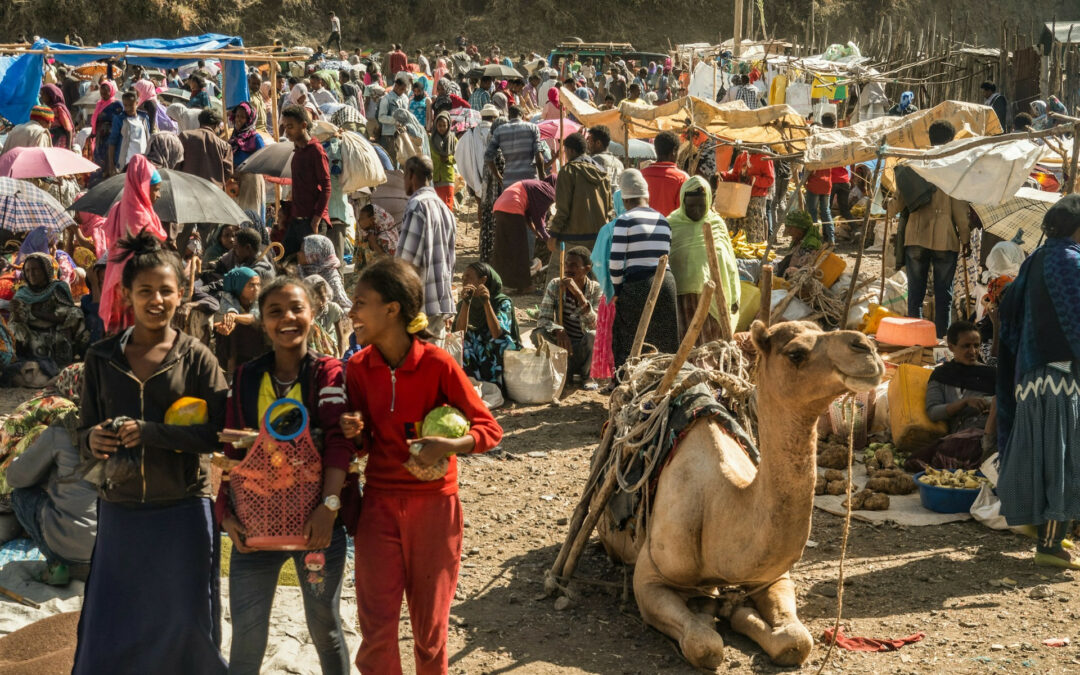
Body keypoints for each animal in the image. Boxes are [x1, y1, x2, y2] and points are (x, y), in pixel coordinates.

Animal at [596, 321, 881, 669]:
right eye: (795, 353)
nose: (867, 348)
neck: (719, 508)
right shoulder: (649, 578)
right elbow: (705, 645)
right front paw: (711, 613)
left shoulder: (772, 577)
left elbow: (797, 641)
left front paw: (737, 611)